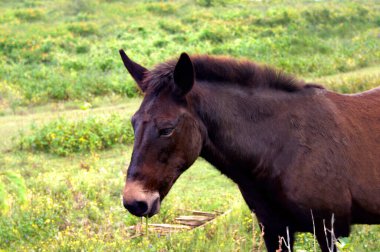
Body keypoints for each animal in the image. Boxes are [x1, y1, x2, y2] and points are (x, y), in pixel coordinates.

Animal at [119, 49, 380, 252]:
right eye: (133, 122)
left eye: (167, 129)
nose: (135, 202)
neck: (284, 149)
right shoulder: (275, 231)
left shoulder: (328, 230)